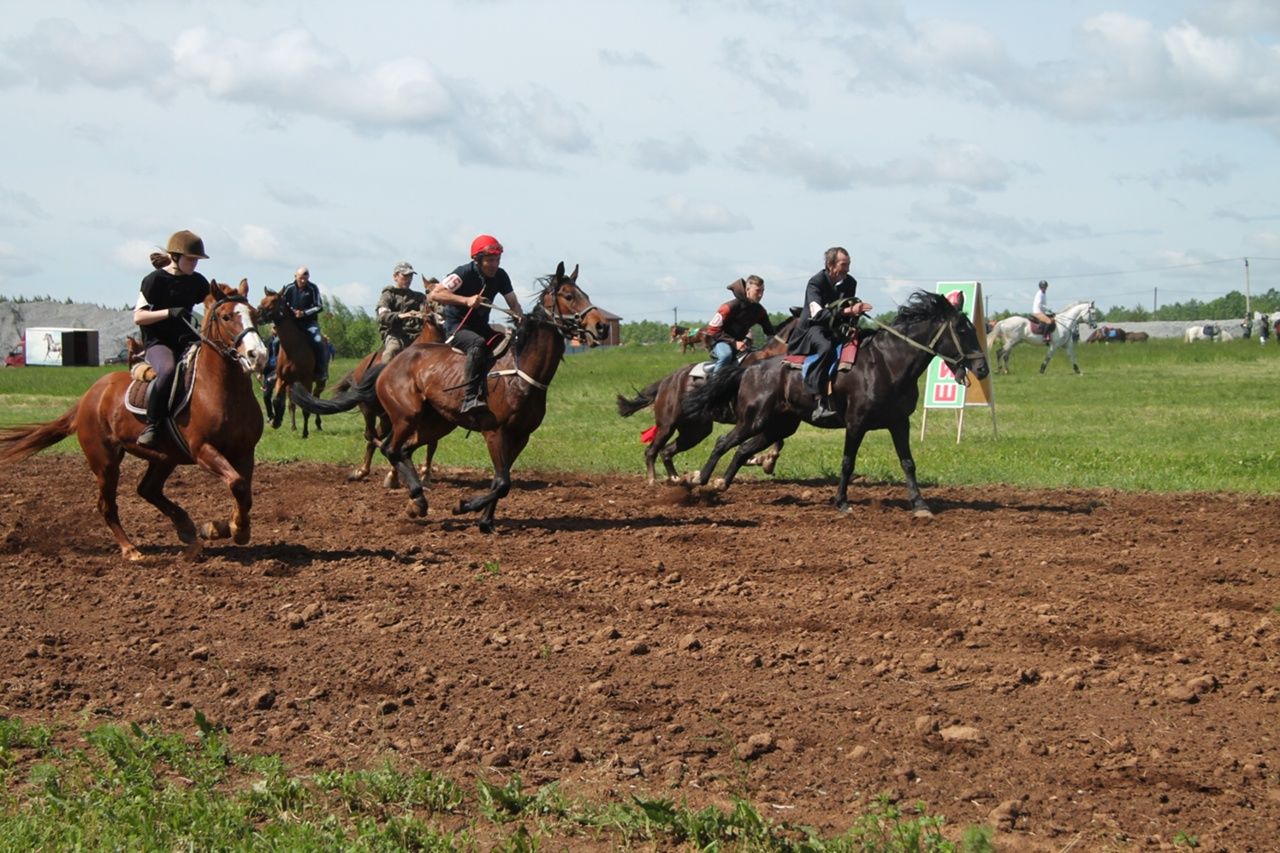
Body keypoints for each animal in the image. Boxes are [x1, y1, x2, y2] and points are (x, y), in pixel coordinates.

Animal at [0, 279, 267, 558]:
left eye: (255, 314)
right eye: (226, 316)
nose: (258, 355)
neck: (221, 390)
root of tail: (87, 398)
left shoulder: (244, 451)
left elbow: (243, 491)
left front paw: (230, 527)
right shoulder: (203, 450)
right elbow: (237, 484)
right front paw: (228, 529)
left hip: (164, 457)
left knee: (147, 489)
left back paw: (185, 527)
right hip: (105, 462)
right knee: (107, 505)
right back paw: (130, 549)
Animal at [290, 258, 609, 527]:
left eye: (584, 293)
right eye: (568, 296)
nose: (602, 326)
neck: (520, 371)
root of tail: (391, 363)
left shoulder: (520, 436)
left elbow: (501, 482)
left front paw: (485, 520)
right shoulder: (495, 432)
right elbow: (502, 482)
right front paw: (464, 507)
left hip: (436, 423)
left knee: (403, 450)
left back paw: (415, 500)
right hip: (406, 415)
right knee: (388, 447)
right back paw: (416, 496)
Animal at [614, 312, 793, 484]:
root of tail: (667, 380)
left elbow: (777, 441)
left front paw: (763, 460)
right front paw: (765, 461)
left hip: (696, 430)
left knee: (667, 451)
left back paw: (676, 478)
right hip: (667, 426)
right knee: (651, 451)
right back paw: (653, 480)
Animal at [680, 292, 988, 514]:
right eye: (962, 330)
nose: (982, 368)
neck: (888, 364)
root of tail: (751, 369)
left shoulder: (900, 423)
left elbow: (908, 463)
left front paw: (920, 504)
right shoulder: (856, 424)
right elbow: (847, 463)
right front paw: (841, 502)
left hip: (778, 426)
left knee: (743, 450)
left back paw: (721, 484)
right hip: (752, 420)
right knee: (723, 442)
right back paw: (700, 479)